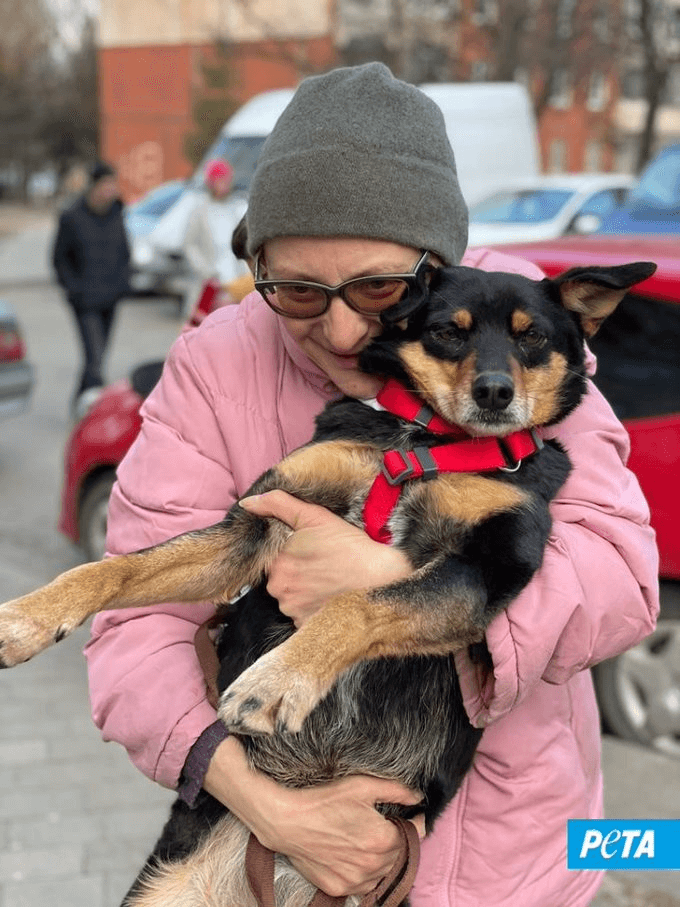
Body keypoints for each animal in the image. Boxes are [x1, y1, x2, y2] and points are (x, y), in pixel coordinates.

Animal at [0, 258, 656, 904]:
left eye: (532, 337)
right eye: (448, 331)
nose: (494, 392)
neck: (426, 445)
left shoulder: (485, 569)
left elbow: (354, 603)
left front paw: (278, 681)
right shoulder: (254, 524)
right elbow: (117, 566)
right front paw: (29, 617)